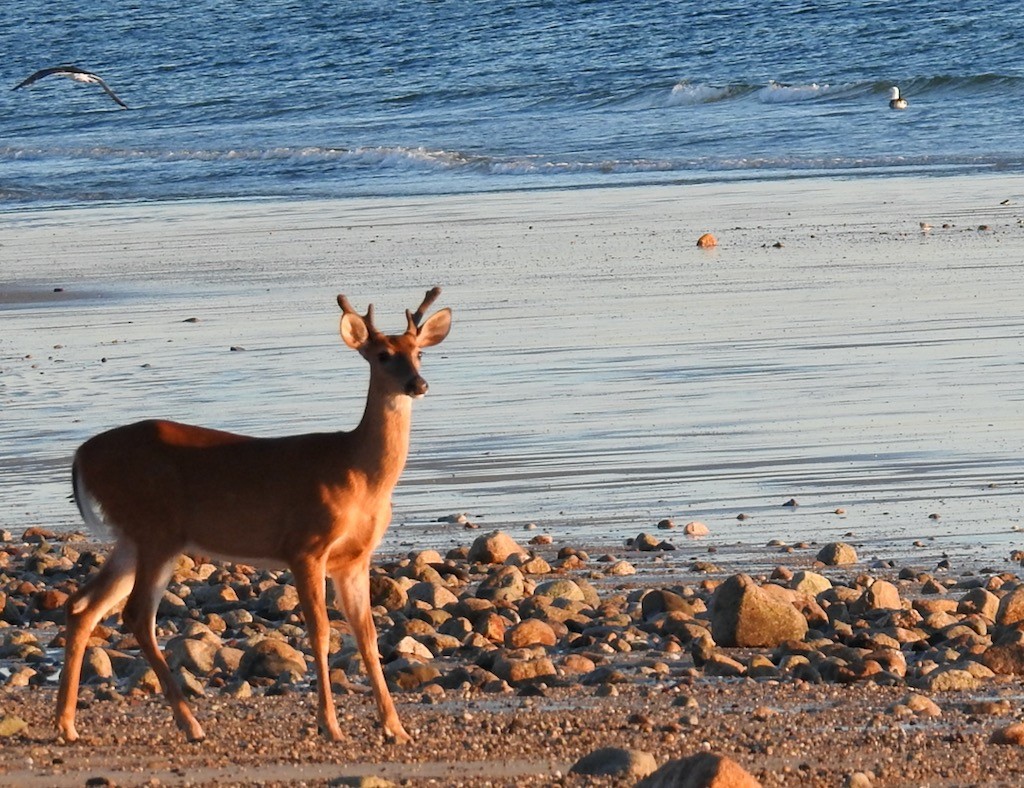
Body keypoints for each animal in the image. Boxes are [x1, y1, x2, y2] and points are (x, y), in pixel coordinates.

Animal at [56, 286, 452, 740]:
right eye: (383, 355)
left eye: (418, 352)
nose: (418, 383)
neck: (358, 473)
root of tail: (81, 456)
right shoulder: (304, 546)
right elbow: (320, 633)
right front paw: (330, 725)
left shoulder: (355, 558)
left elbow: (366, 635)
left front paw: (394, 727)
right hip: (157, 531)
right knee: (136, 614)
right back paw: (190, 723)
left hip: (131, 538)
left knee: (82, 606)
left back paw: (66, 724)